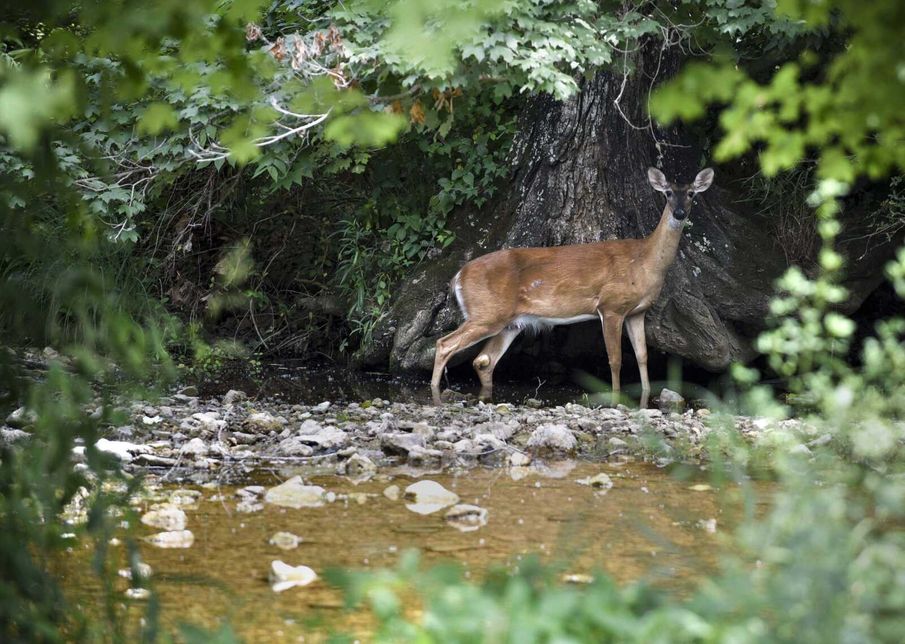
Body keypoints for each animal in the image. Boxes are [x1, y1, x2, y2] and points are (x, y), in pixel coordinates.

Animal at [430, 166, 714, 405]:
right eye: (668, 193)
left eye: (691, 193)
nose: (679, 213)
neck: (644, 262)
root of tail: (458, 277)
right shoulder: (610, 306)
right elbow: (615, 359)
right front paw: (616, 398)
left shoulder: (637, 312)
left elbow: (642, 356)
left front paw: (645, 397)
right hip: (486, 312)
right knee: (445, 344)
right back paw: (436, 395)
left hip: (509, 322)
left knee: (483, 360)